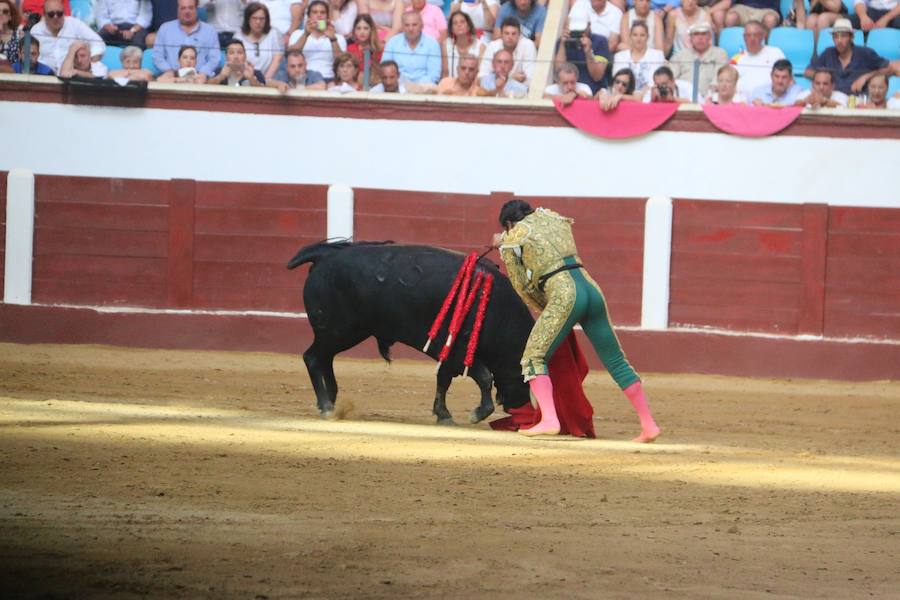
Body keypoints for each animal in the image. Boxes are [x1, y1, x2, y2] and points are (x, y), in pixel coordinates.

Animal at [288, 241, 536, 424]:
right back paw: (326, 406)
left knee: (325, 359)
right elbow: (484, 377)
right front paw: (477, 414)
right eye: (525, 379)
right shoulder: (457, 350)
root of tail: (325, 256)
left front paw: (443, 414)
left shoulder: (447, 354)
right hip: (337, 331)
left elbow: (443, 380)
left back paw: (331, 401)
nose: (518, 408)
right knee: (313, 357)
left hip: (345, 333)